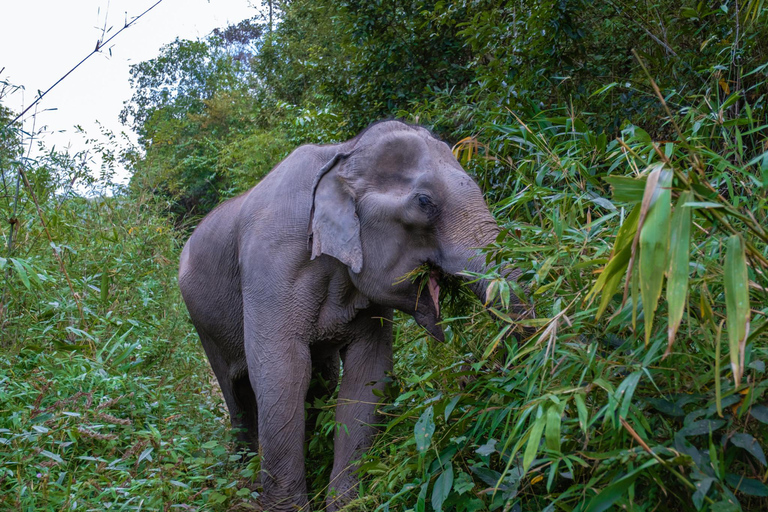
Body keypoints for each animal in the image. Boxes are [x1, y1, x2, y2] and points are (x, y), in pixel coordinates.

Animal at [177, 119, 532, 508]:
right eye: (425, 202)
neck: (342, 153)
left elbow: (368, 375)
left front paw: (348, 504)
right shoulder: (270, 267)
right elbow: (282, 373)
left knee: (321, 380)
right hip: (202, 322)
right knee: (238, 394)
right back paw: (244, 480)